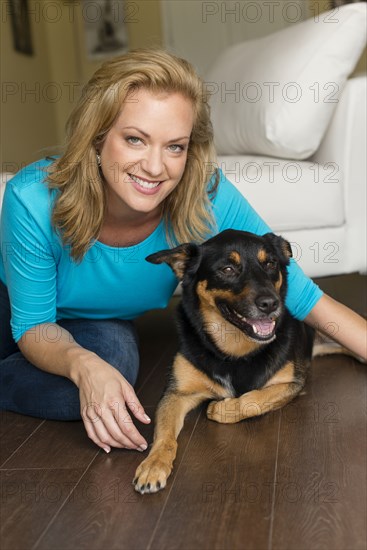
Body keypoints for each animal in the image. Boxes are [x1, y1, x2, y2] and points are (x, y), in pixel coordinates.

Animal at [134, 229, 314, 496]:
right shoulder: (177, 394)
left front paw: (220, 408)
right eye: (227, 269)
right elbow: (164, 436)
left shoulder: (293, 383)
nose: (271, 304)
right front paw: (153, 465)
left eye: (270, 264)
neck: (235, 349)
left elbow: (253, 401)